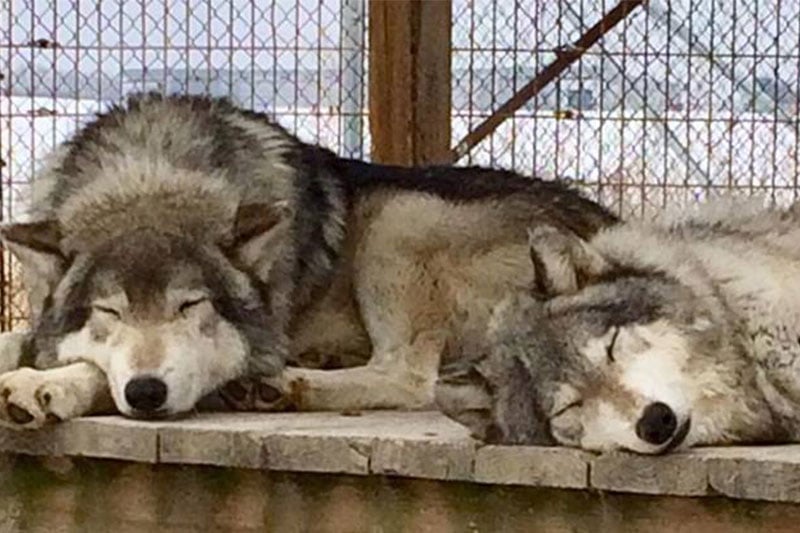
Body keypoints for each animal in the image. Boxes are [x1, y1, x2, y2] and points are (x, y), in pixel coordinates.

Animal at [0, 90, 612, 424]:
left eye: (191, 306)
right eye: (109, 312)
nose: (147, 393)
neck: (150, 168)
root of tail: (607, 229)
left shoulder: (235, 350)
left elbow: (100, 370)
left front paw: (41, 386)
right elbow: (25, 339)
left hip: (400, 215)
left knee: (409, 378)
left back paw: (283, 386)